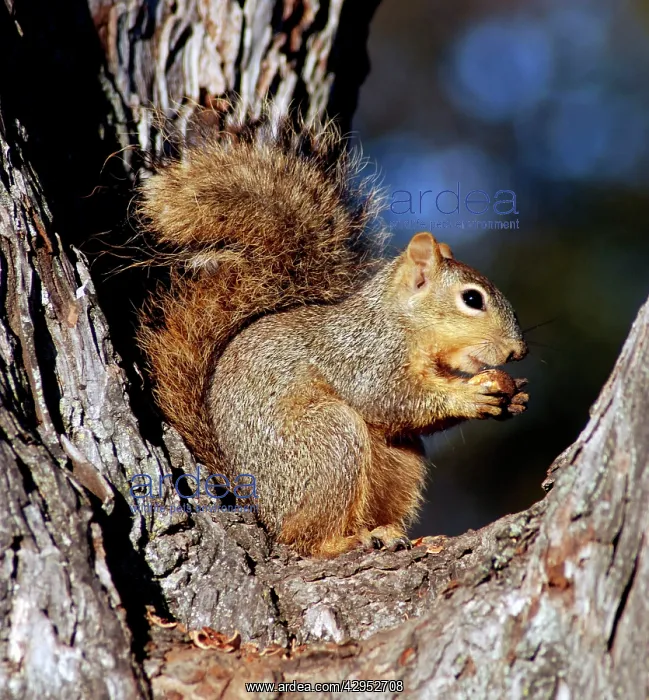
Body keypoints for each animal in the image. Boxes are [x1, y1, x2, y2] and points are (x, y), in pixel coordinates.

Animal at [136, 105, 529, 558]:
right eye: (471, 299)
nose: (518, 351)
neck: (402, 324)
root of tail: (258, 505)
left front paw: (514, 396)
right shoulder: (364, 355)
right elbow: (389, 400)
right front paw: (469, 395)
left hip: (400, 463)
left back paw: (394, 533)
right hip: (328, 441)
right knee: (302, 538)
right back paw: (346, 540)